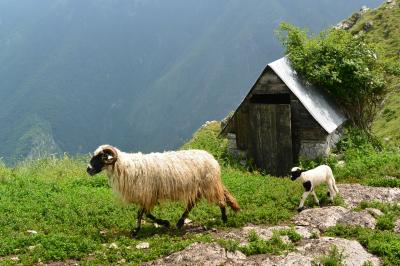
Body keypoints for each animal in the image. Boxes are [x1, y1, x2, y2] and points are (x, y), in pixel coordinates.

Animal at [86, 145, 239, 235]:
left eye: (101, 157)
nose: (88, 169)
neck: (125, 167)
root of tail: (211, 157)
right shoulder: (147, 196)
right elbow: (143, 214)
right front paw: (138, 229)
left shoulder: (148, 194)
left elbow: (143, 213)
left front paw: (161, 223)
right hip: (200, 187)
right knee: (192, 203)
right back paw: (180, 222)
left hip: (208, 185)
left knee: (220, 199)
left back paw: (224, 219)